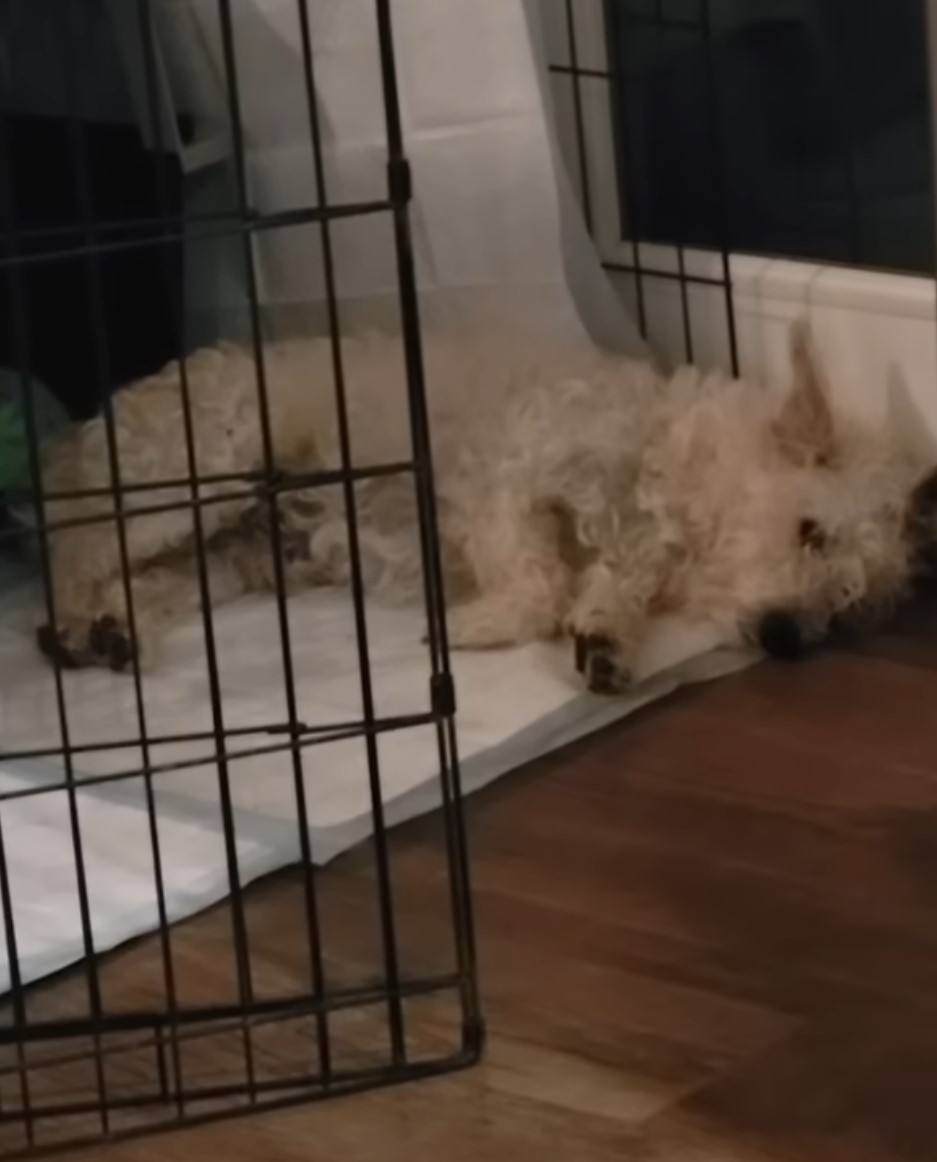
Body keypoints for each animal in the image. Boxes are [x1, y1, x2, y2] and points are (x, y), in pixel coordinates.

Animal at [34, 320, 937, 687]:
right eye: (809, 531)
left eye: (844, 611)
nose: (789, 639)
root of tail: (76, 439)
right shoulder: (508, 479)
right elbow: (536, 581)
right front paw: (478, 625)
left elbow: (602, 592)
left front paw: (604, 643)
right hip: (206, 472)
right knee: (76, 546)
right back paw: (70, 625)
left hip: (231, 558)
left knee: (133, 579)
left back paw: (107, 633)